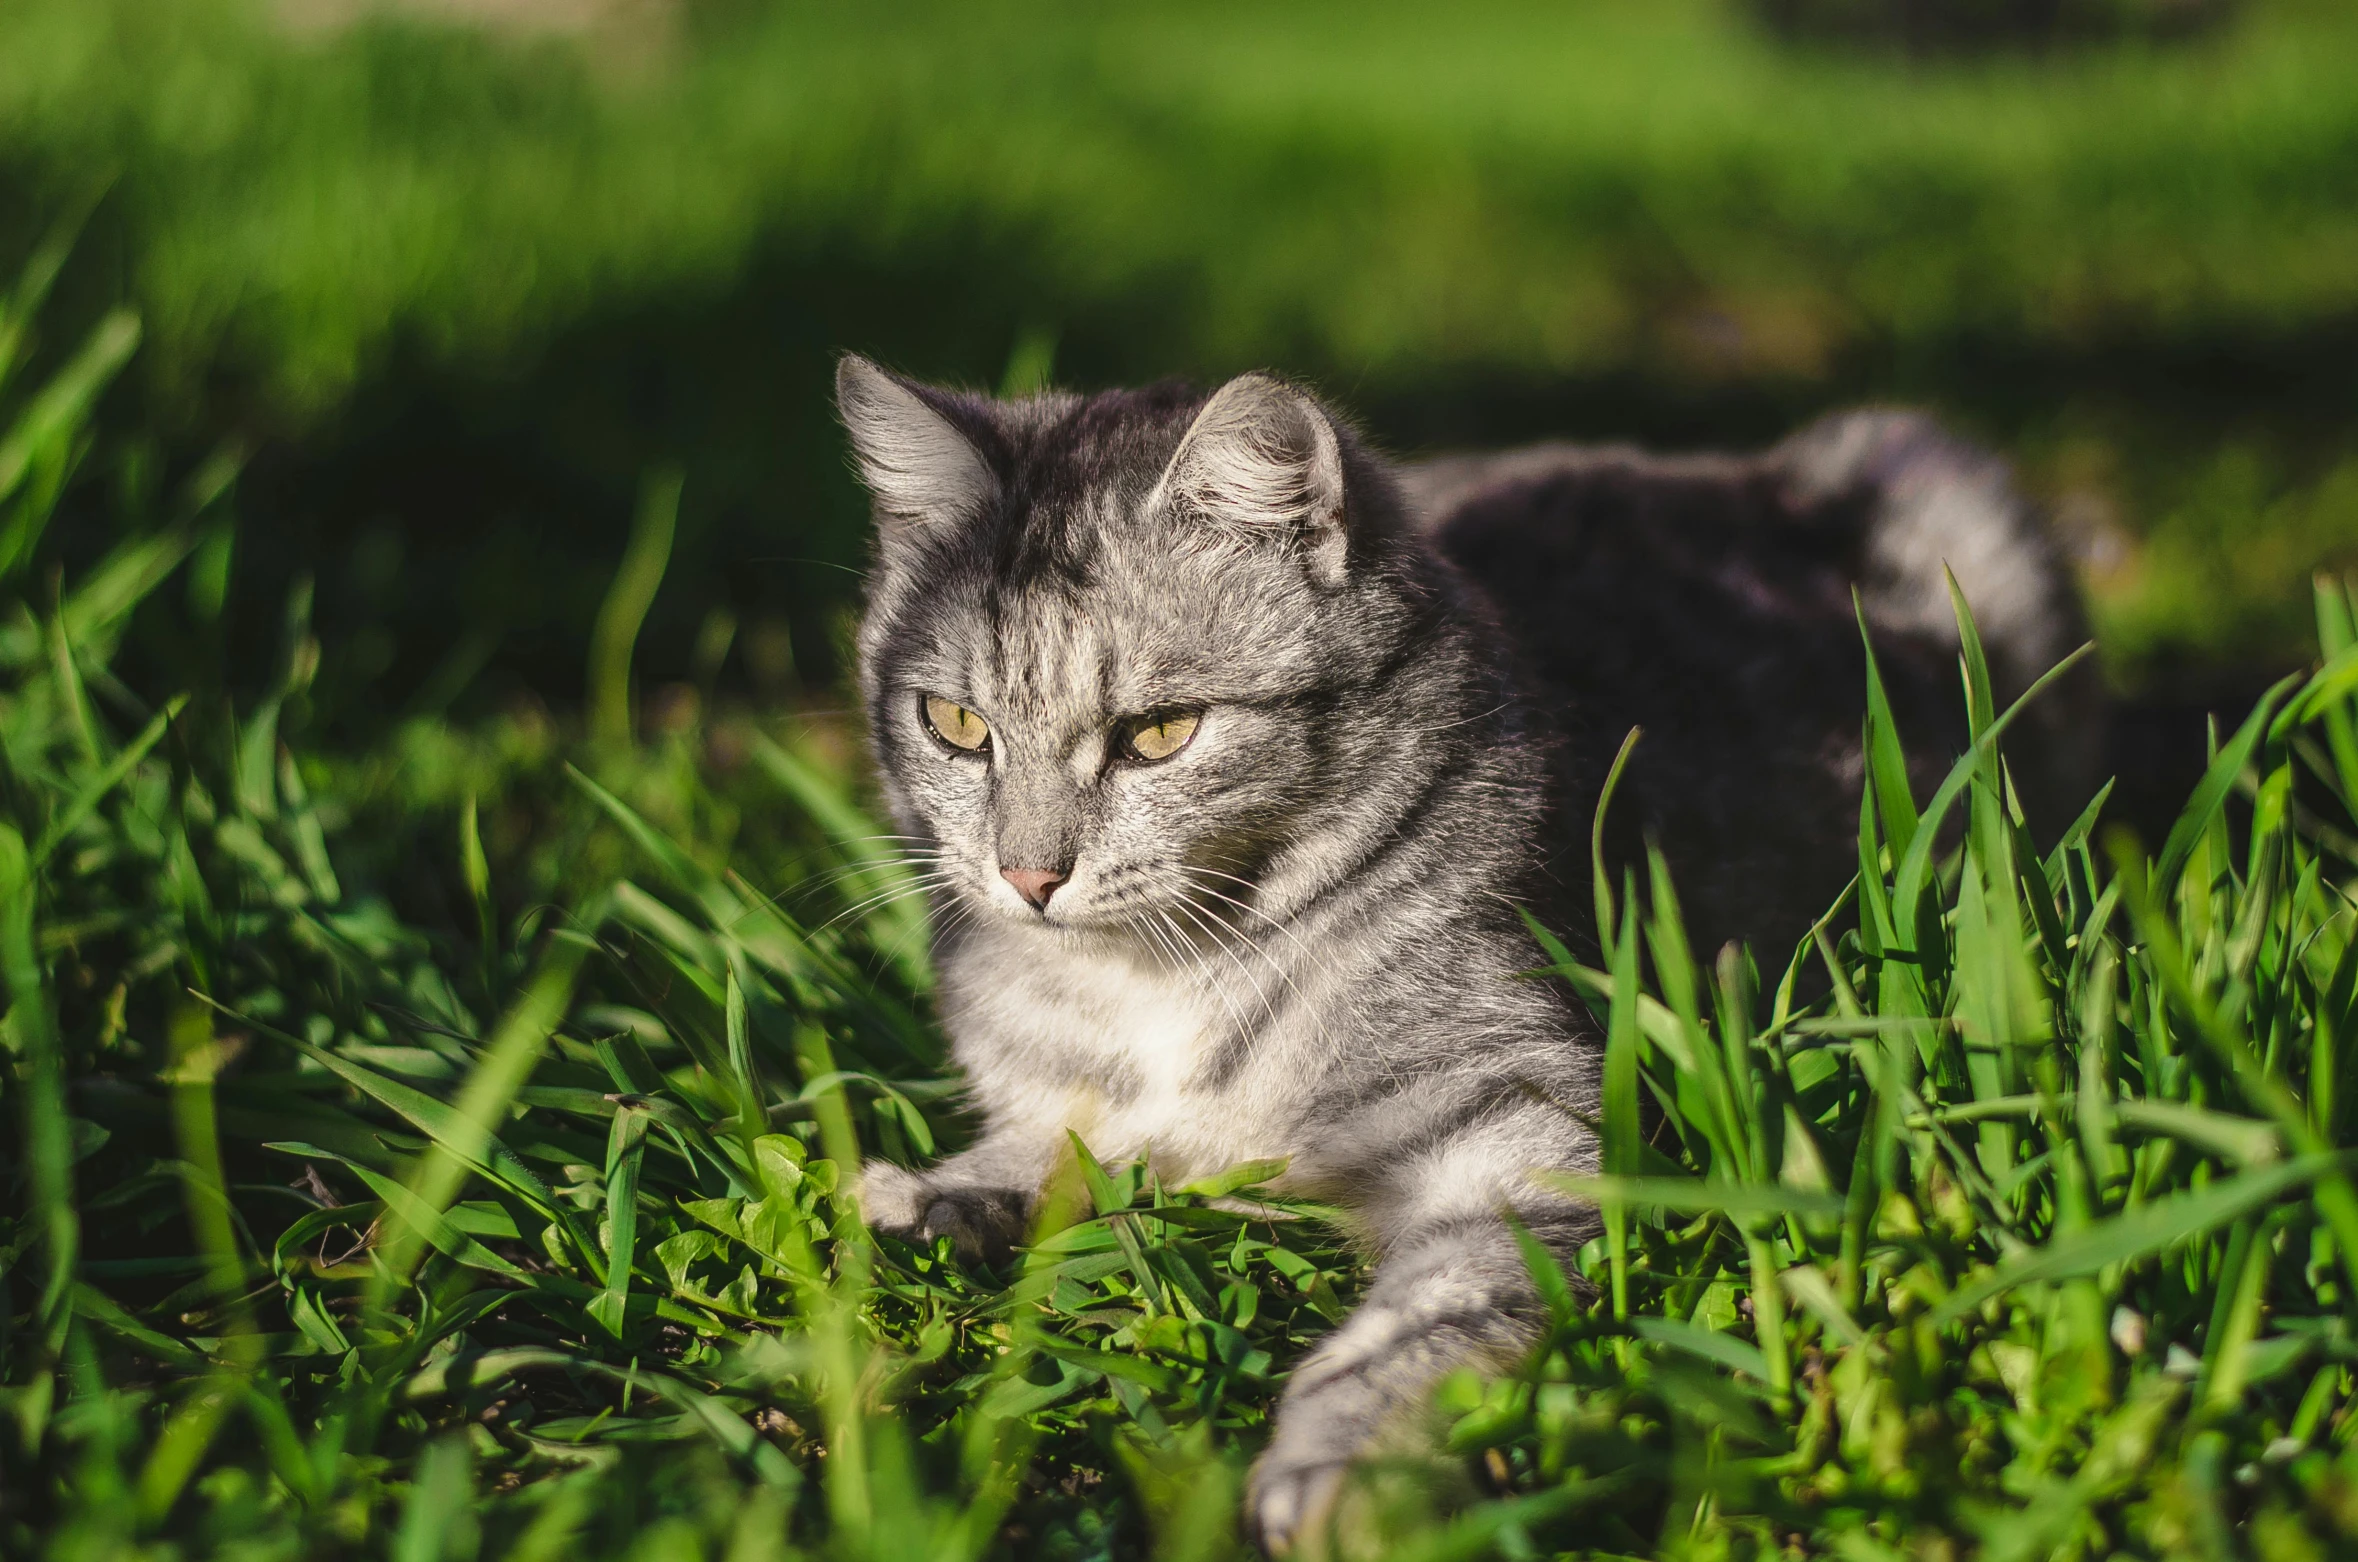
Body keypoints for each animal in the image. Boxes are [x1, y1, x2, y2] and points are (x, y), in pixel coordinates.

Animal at [830, 358, 2084, 1557]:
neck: (1159, 976)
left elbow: (1422, 1320)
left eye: (1160, 733)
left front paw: (1341, 1471)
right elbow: (1041, 1144)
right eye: (955, 724)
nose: (1027, 877)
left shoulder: (1516, 1122)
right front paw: (928, 1198)